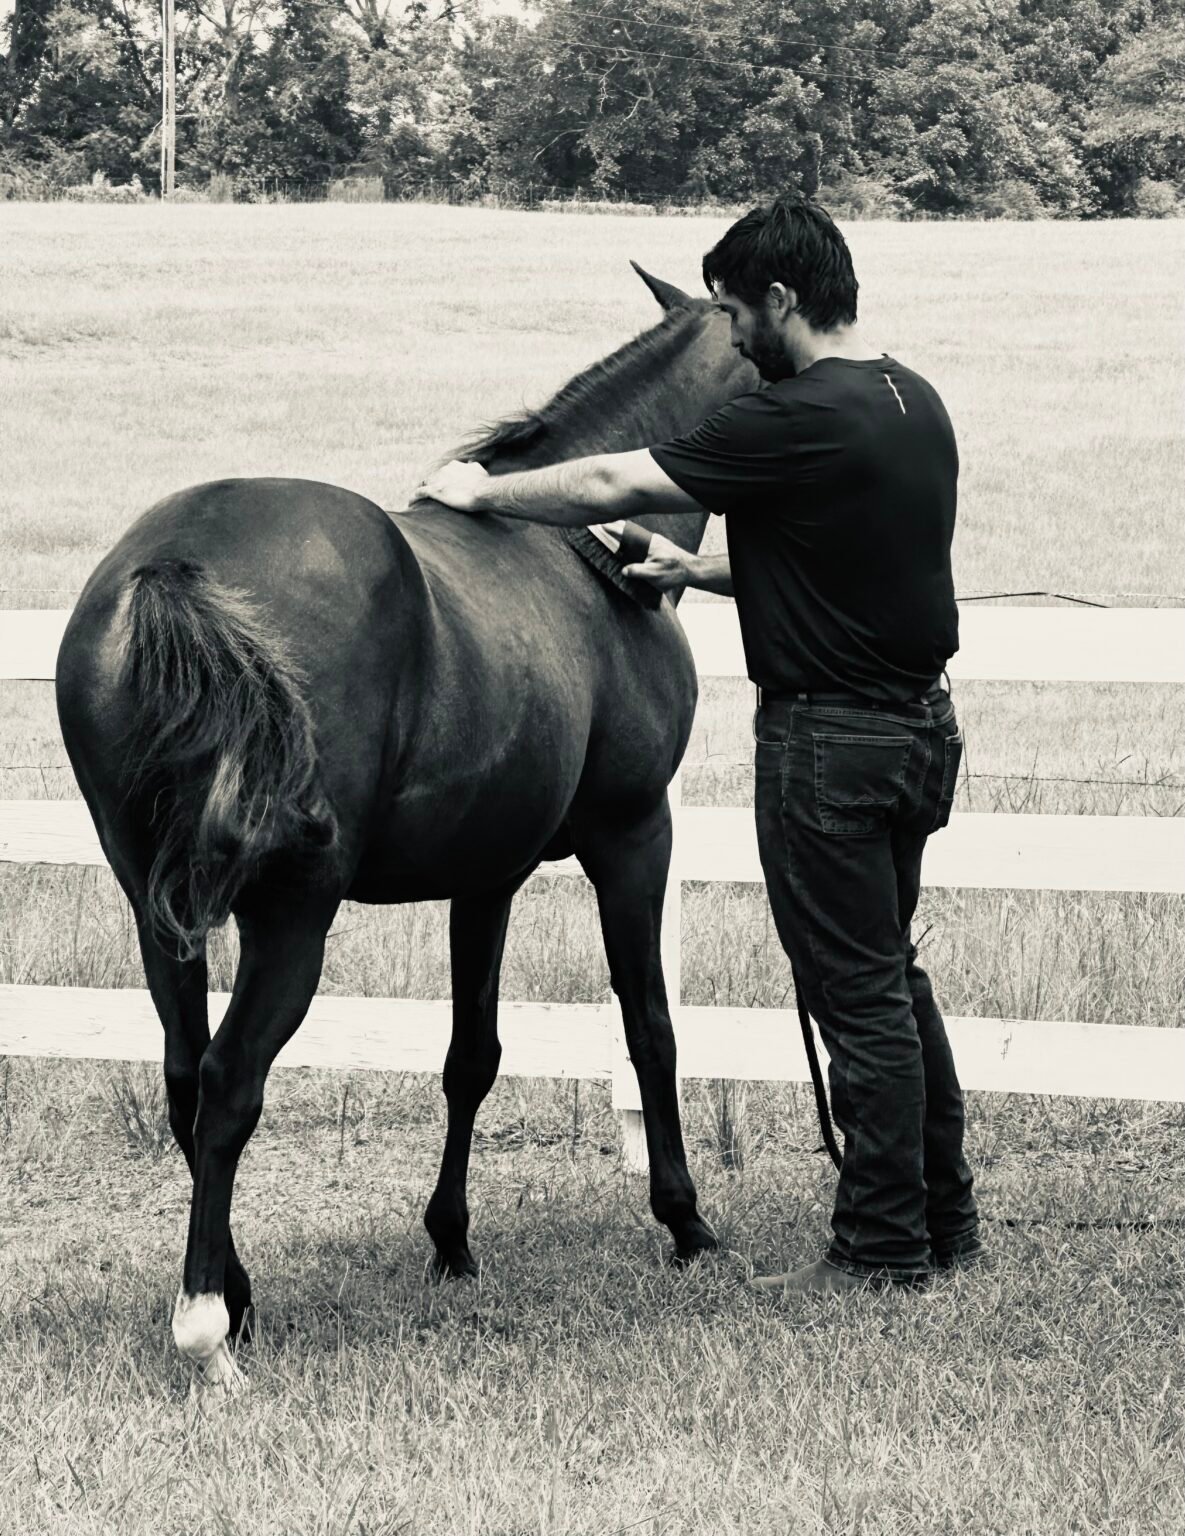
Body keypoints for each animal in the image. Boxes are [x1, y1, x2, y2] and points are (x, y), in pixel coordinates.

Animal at [55, 263, 758, 1392]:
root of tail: (172, 565)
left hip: (159, 912)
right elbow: (650, 1026)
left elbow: (471, 1055)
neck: (578, 557)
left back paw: (234, 1294)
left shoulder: (486, 876)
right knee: (229, 1083)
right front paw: (685, 1221)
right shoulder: (633, 837)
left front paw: (452, 1243)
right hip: (291, 918)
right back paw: (206, 1326)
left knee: (184, 1077)